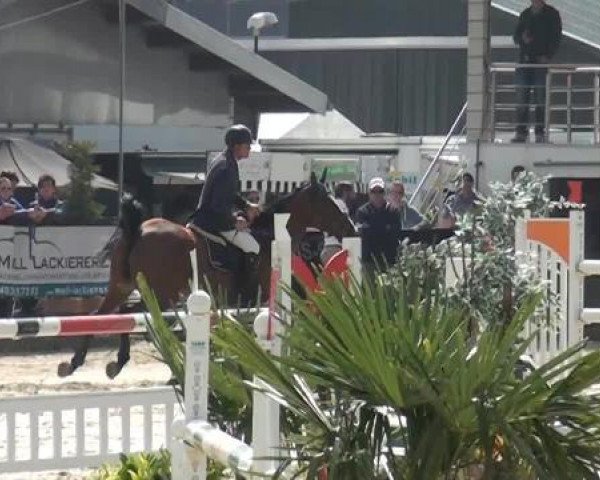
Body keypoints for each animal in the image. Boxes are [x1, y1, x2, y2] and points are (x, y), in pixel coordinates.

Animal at [57, 175, 356, 378]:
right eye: (331, 203)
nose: (351, 228)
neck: (273, 235)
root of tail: (140, 229)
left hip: (122, 286)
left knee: (99, 315)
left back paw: (76, 362)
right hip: (161, 294)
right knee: (131, 315)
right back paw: (120, 359)